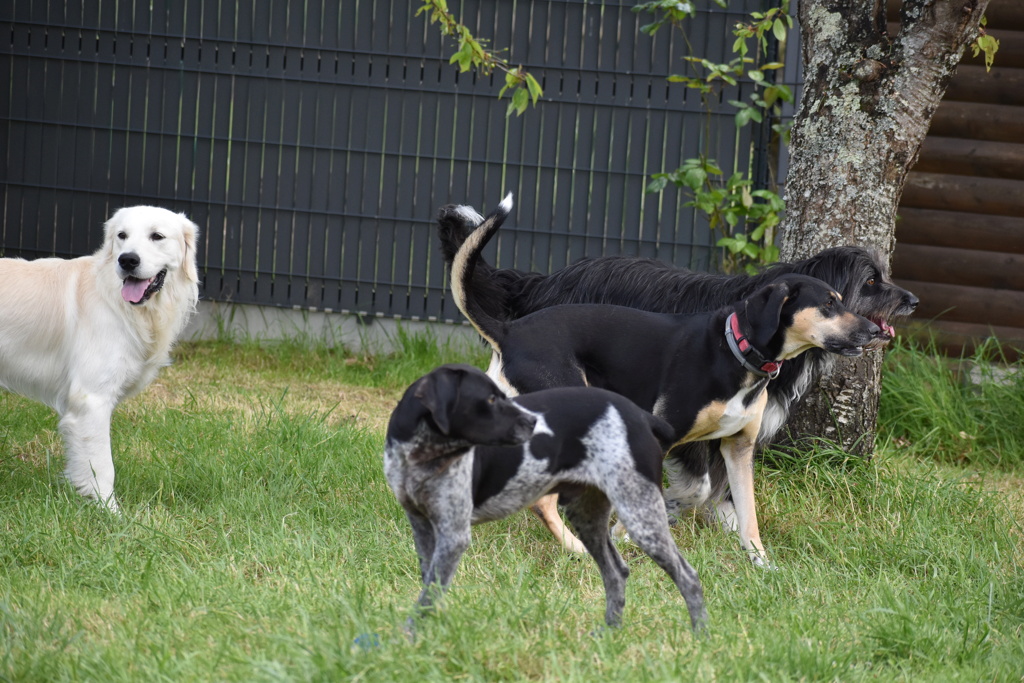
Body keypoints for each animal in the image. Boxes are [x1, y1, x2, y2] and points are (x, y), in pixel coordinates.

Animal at [0, 205, 199, 509]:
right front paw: (109, 511)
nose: (127, 260)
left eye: (157, 236)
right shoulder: (92, 399)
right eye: (122, 235)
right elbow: (103, 465)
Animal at [385, 366, 712, 634]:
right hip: (587, 518)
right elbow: (429, 586)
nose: (535, 424)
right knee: (616, 573)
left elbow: (430, 592)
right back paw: (610, 632)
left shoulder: (454, 536)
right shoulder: (424, 527)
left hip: (641, 516)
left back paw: (700, 636)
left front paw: (411, 637)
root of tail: (640, 415)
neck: (423, 460)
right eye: (490, 400)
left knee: (688, 576)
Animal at [436, 197, 917, 557]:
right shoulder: (683, 436)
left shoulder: (737, 440)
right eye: (871, 282)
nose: (912, 300)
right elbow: (698, 488)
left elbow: (734, 497)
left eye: (881, 276)